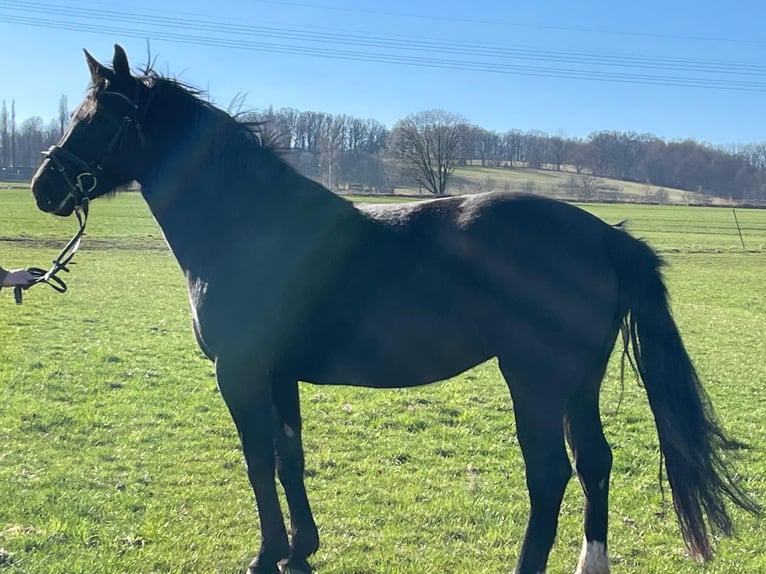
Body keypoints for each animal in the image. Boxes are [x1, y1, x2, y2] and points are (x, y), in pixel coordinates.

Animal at [30, 46, 760, 574]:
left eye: (100, 118)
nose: (43, 187)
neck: (250, 224)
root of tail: (604, 234)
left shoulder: (239, 373)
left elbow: (258, 459)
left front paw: (267, 556)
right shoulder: (278, 373)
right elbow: (289, 456)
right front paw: (300, 551)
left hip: (536, 380)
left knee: (550, 473)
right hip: (578, 383)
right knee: (595, 465)